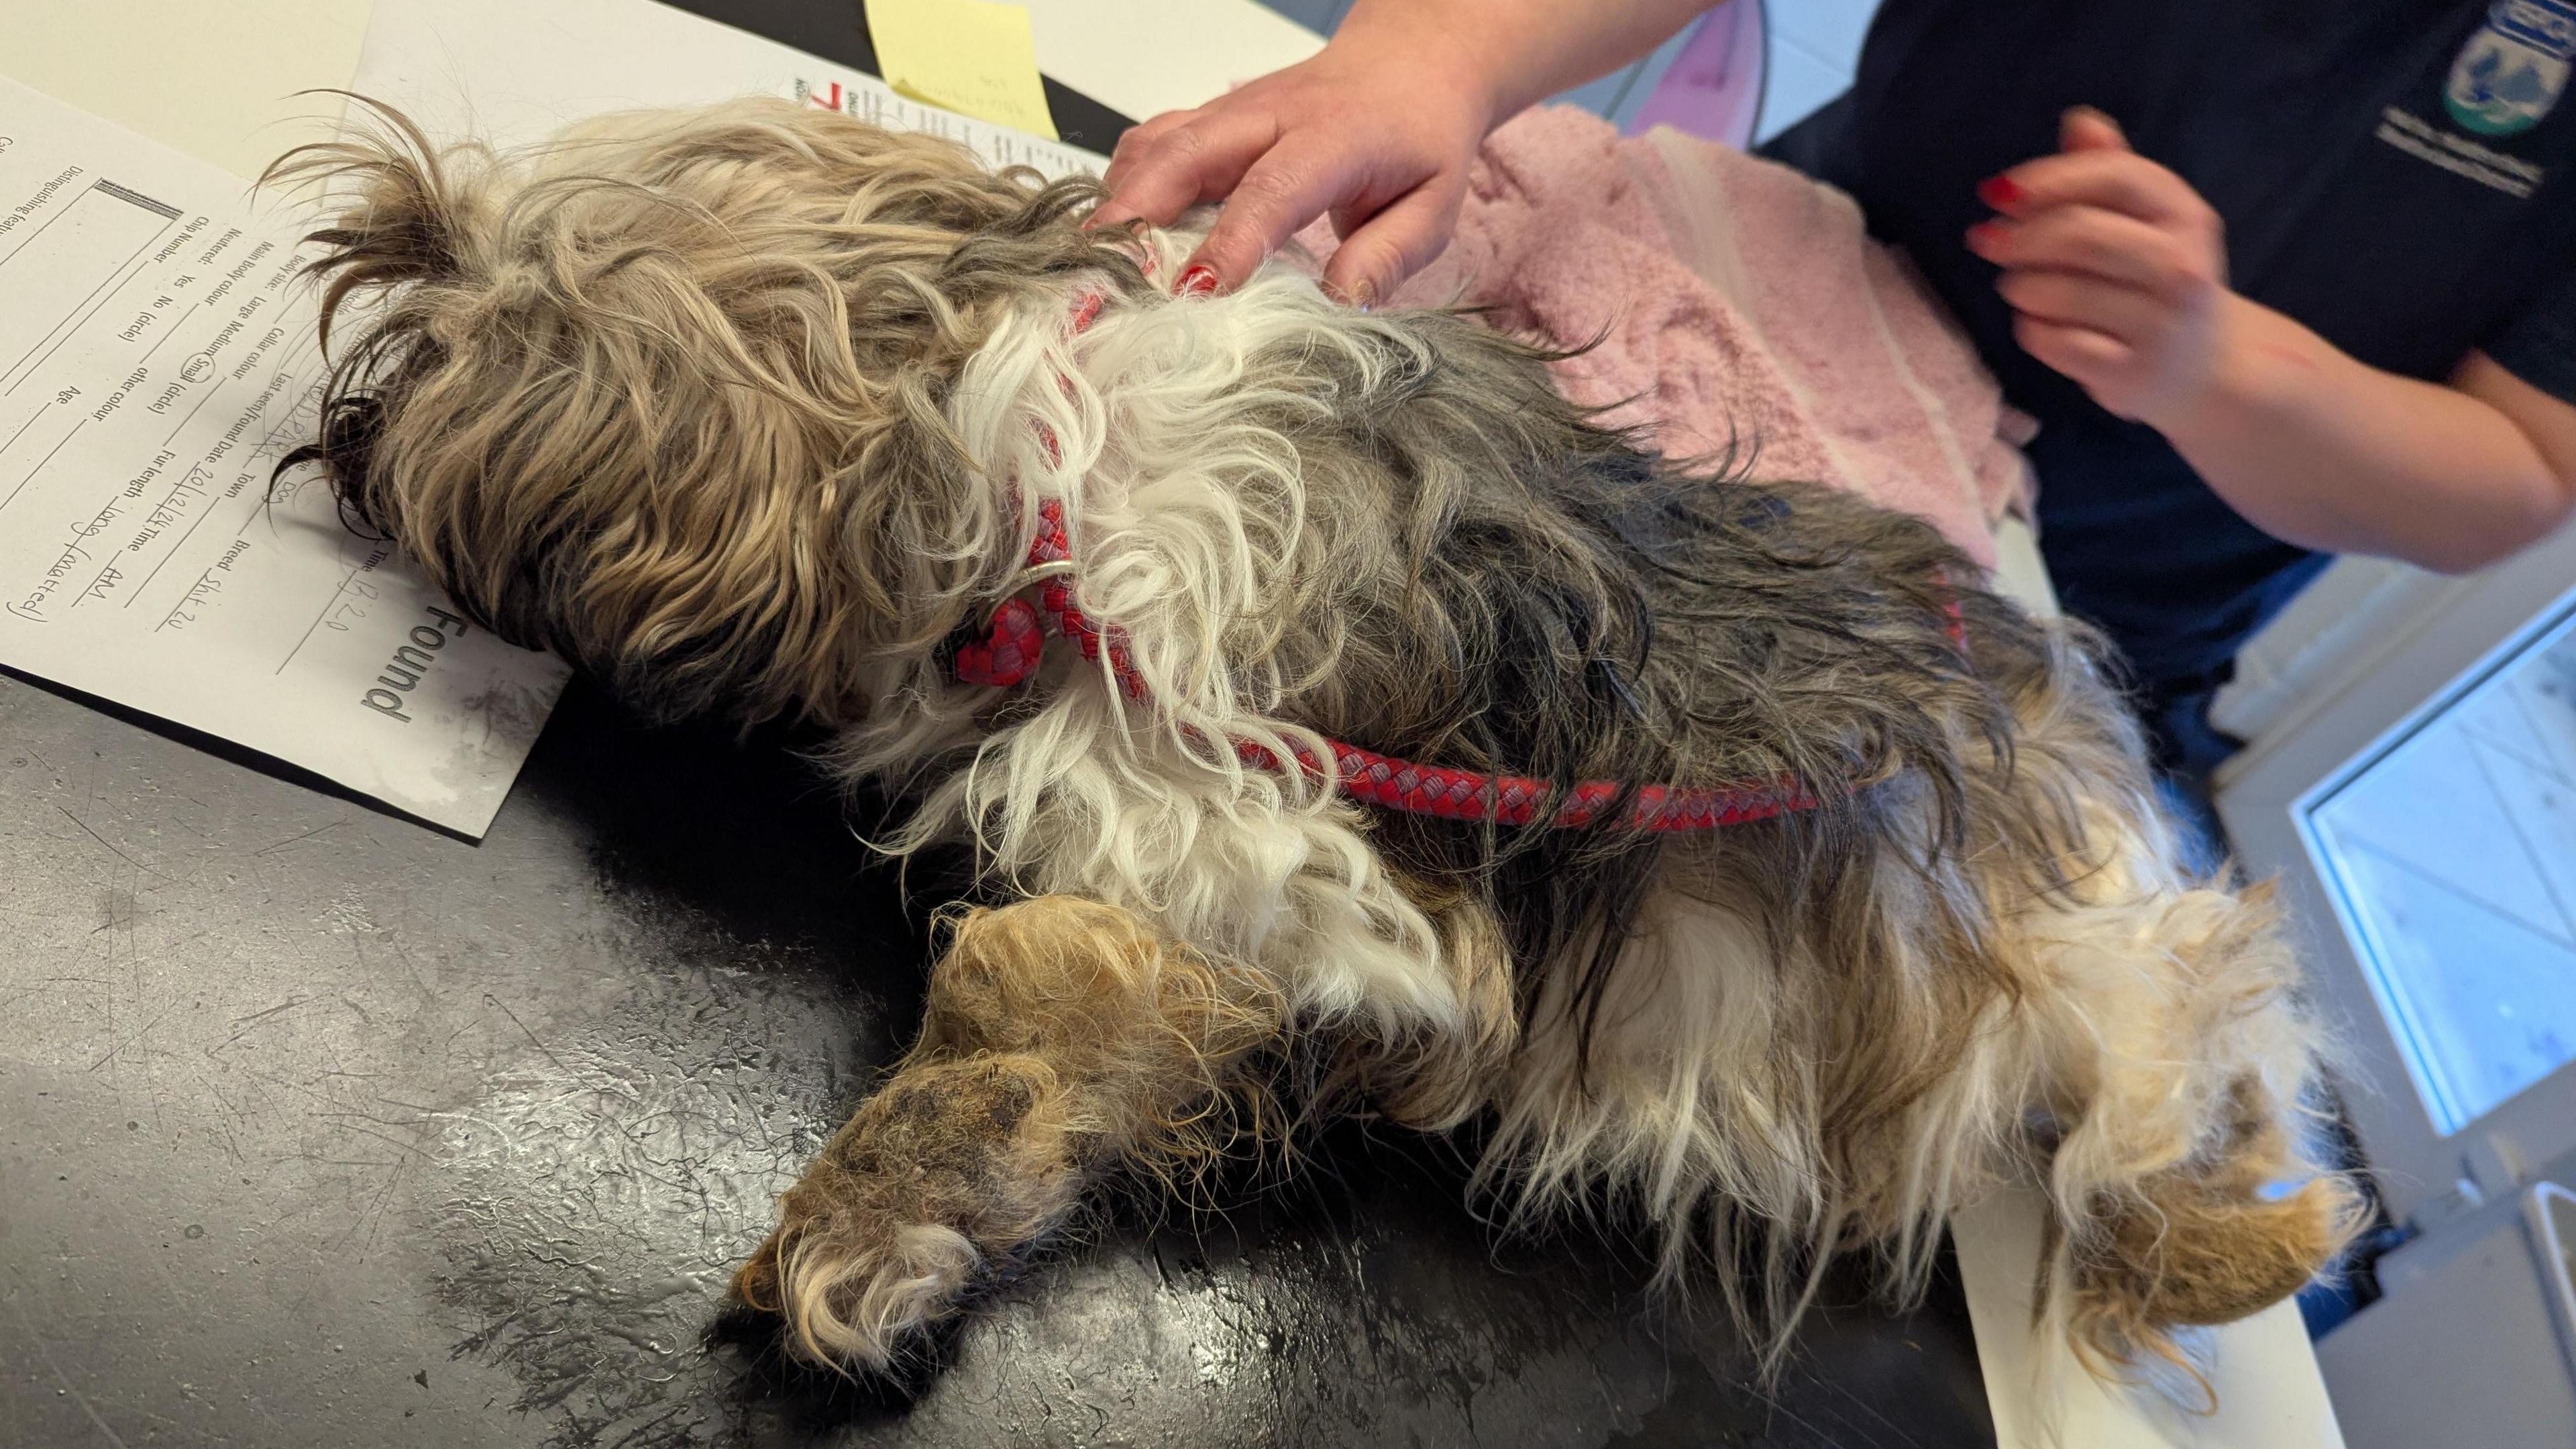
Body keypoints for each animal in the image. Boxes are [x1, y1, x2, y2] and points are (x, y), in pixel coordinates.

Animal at [276, 96, 2359, 1382]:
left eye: (466, 301)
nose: (344, 414)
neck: (1038, 492)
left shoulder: (1317, 866)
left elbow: (1024, 967)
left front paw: (863, 1226)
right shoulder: (1229, 894)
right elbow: (1088, 1000)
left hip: (2084, 945)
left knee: (2210, 1039)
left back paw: (2249, 1233)